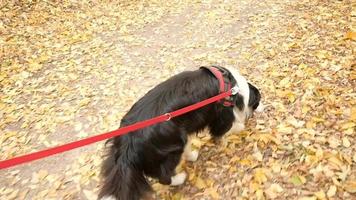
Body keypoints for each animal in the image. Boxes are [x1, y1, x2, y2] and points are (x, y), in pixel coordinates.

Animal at [98, 66, 262, 200]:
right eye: (259, 100)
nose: (264, 107)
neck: (235, 89)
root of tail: (127, 146)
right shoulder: (221, 116)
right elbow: (228, 127)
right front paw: (240, 126)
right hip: (171, 148)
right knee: (164, 177)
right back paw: (181, 177)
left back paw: (192, 155)